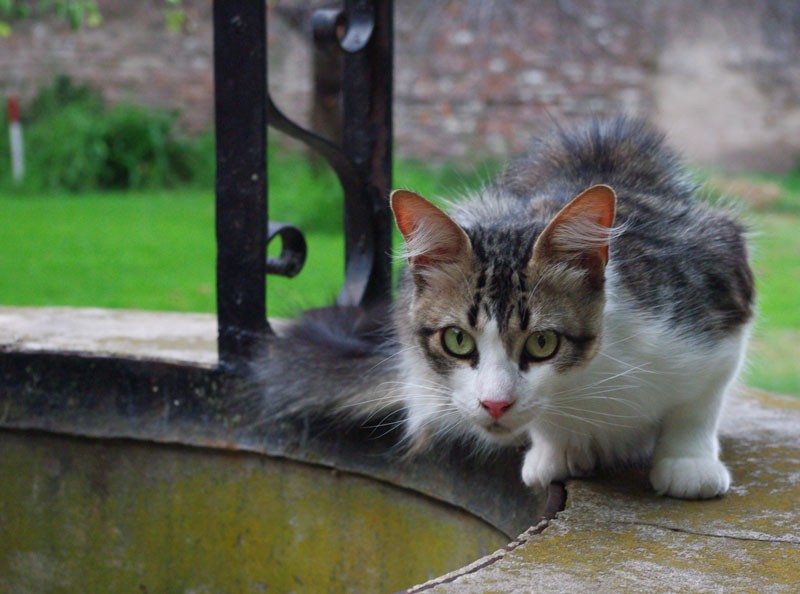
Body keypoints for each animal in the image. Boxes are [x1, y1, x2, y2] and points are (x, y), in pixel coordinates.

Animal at [252, 118, 756, 498]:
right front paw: (556, 450)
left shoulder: (714, 285)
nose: (494, 404)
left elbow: (698, 403)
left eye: (543, 342)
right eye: (457, 340)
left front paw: (688, 462)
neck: (588, 384)